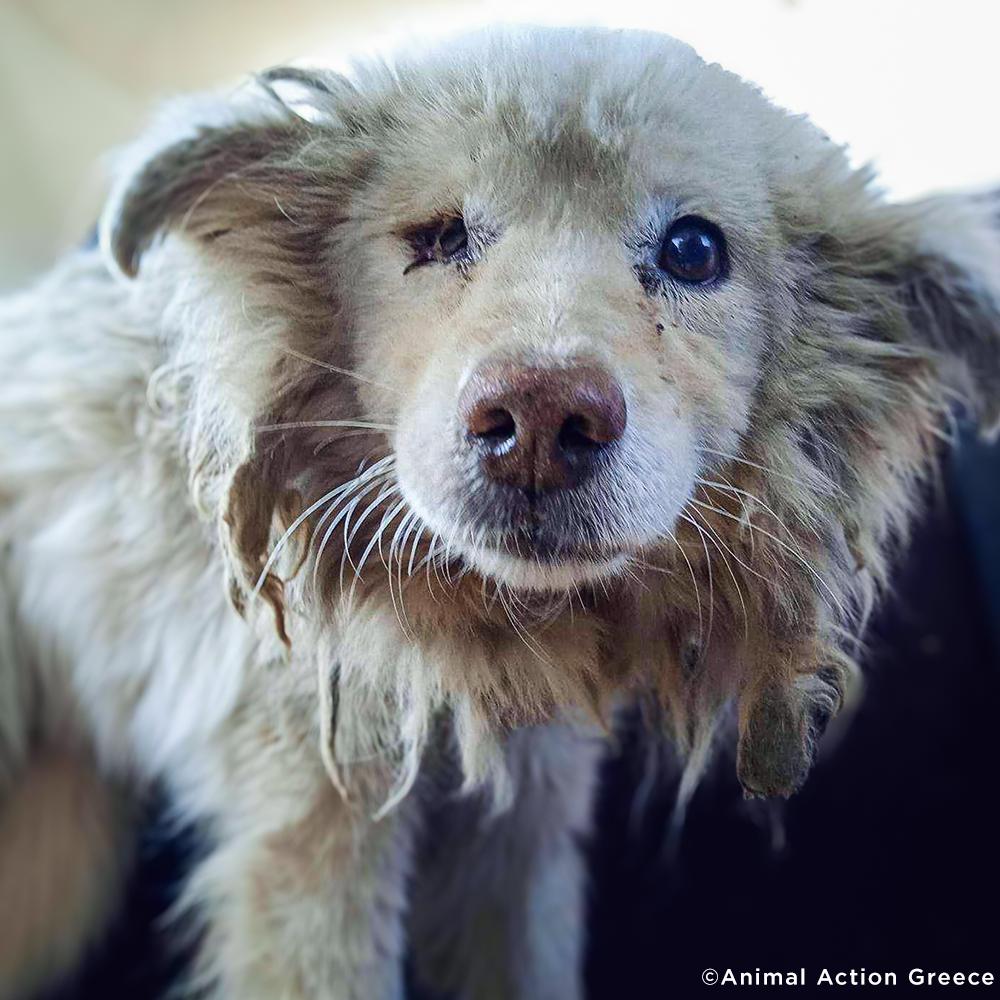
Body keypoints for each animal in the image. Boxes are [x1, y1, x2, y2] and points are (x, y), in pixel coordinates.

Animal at [1, 23, 1000, 1000]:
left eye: (694, 250)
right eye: (439, 239)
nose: (539, 424)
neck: (480, 624)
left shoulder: (526, 815)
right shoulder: (311, 822)